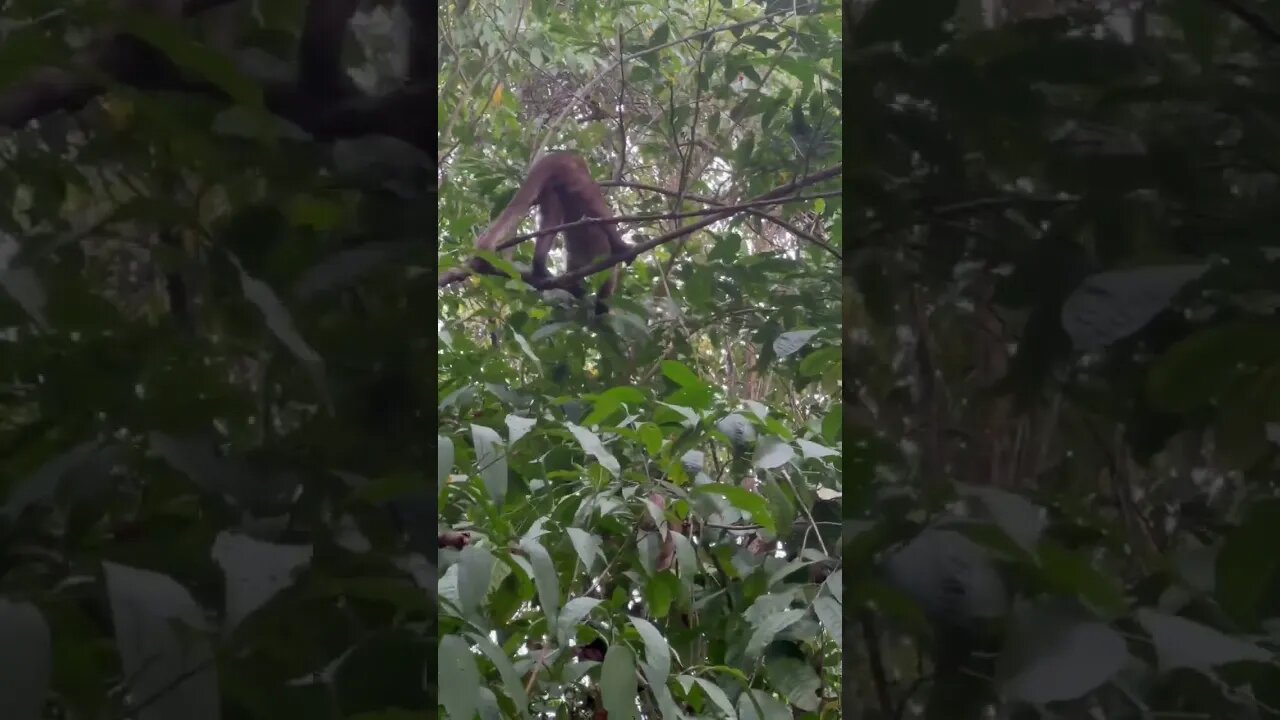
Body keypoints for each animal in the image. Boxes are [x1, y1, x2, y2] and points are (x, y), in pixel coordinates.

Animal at [458, 151, 632, 313]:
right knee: (594, 205)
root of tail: (557, 156)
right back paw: (621, 246)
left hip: (550, 189)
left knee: (551, 220)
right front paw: (601, 306)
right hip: (575, 177)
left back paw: (540, 269)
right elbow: (608, 280)